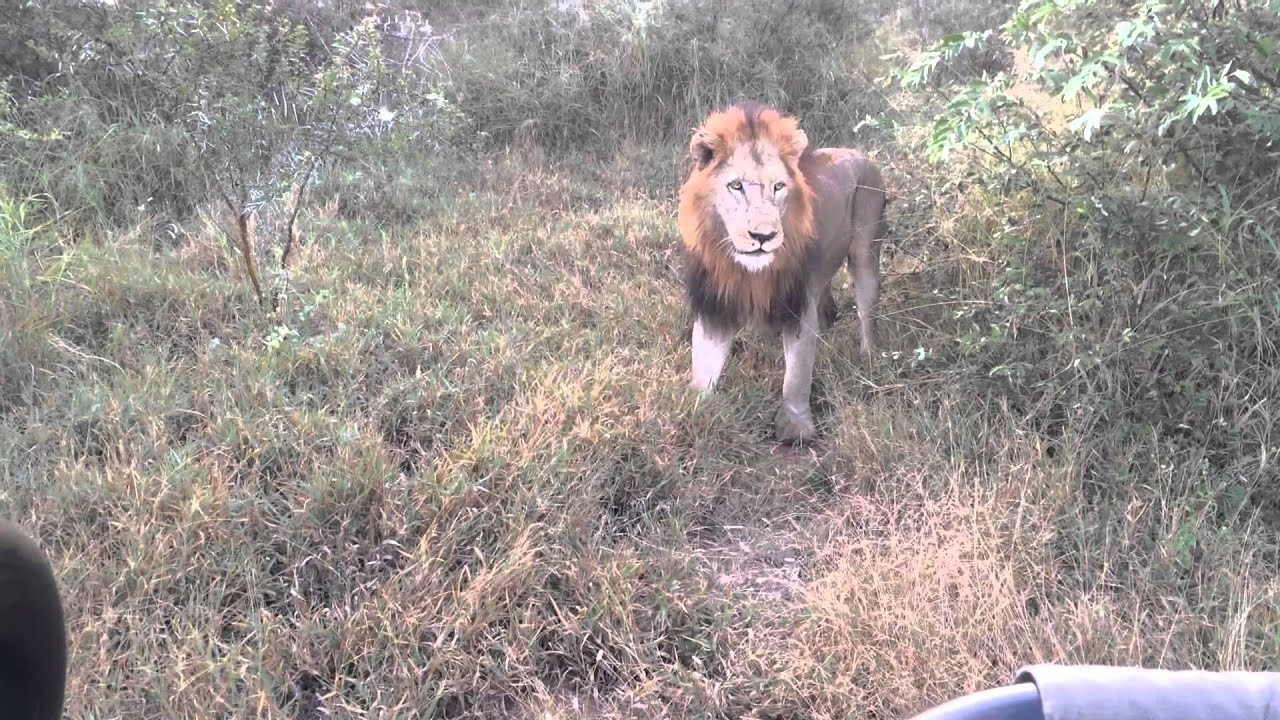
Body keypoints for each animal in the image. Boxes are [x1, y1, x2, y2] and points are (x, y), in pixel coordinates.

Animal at [677, 101, 888, 443]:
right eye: (736, 186)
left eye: (778, 187)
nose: (764, 236)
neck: (749, 272)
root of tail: (859, 152)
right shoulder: (715, 307)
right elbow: (703, 369)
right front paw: (691, 412)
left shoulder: (797, 306)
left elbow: (797, 375)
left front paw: (796, 428)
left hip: (865, 248)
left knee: (867, 311)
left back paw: (868, 358)